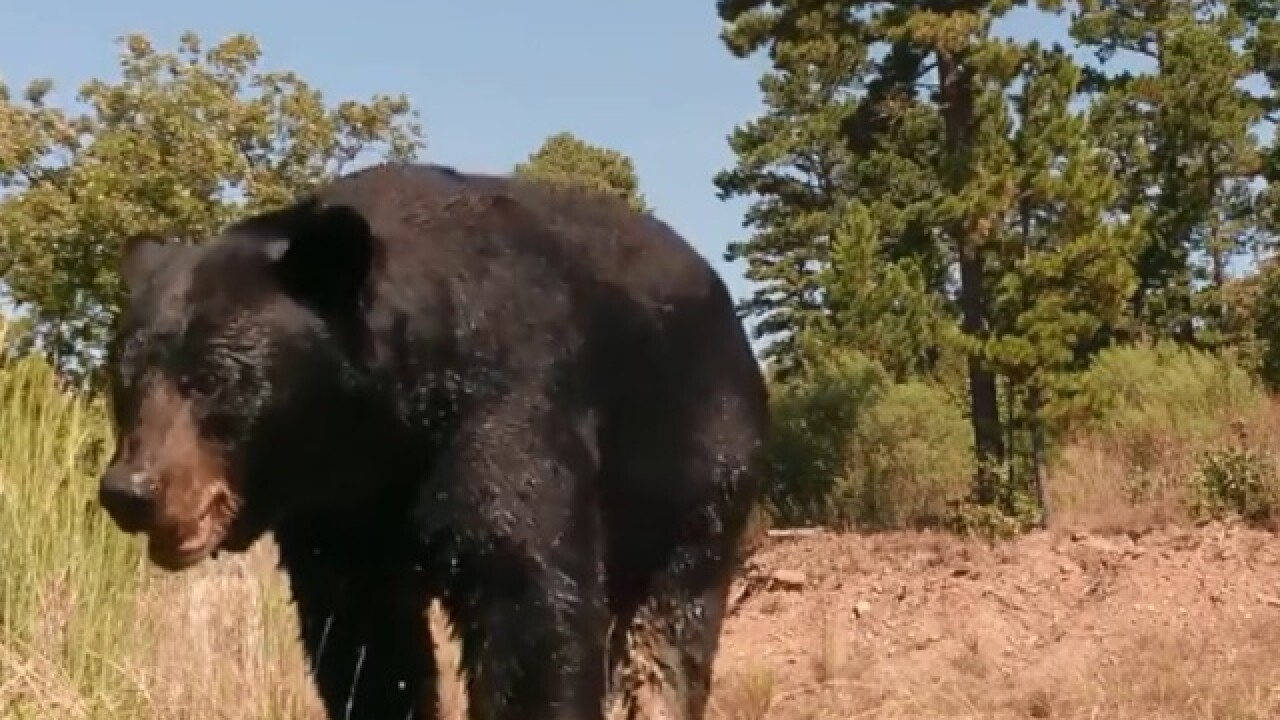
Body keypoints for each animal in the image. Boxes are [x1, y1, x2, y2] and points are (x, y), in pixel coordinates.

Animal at [96, 162, 769, 720]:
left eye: (211, 379)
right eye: (123, 381)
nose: (131, 490)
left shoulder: (505, 409)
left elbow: (531, 601)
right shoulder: (340, 512)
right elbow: (365, 643)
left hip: (700, 472)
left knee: (670, 636)